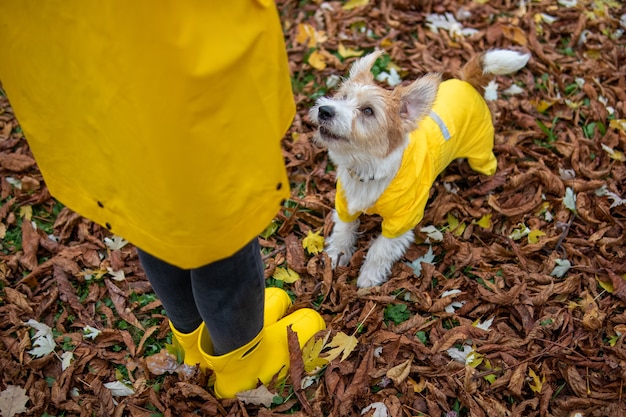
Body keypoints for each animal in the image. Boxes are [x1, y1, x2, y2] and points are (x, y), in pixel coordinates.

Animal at [308, 48, 528, 286]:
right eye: (342, 97)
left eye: (368, 111)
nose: (324, 110)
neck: (367, 168)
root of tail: (466, 82)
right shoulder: (346, 205)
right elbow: (343, 231)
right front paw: (334, 257)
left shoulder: (401, 222)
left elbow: (379, 250)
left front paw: (368, 279)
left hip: (480, 150)